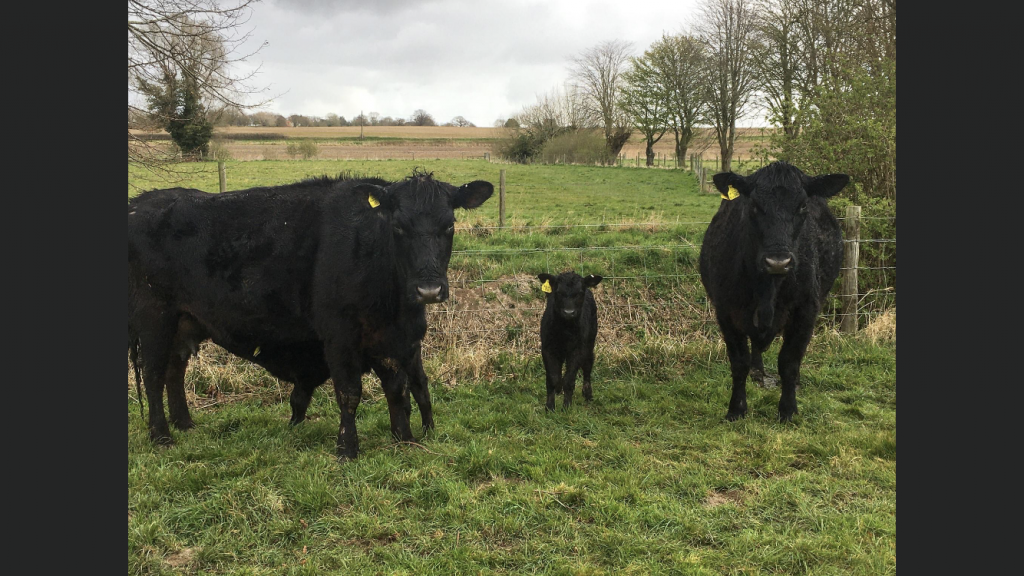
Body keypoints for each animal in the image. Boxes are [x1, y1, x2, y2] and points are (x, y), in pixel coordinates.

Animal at [128, 170, 493, 460]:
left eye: (449, 225)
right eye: (399, 226)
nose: (429, 290)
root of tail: (141, 202)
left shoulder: (391, 338)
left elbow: (397, 388)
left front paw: (405, 439)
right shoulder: (340, 335)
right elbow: (349, 392)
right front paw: (347, 449)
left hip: (184, 321)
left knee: (174, 370)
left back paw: (185, 424)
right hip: (154, 317)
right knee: (153, 373)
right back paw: (161, 435)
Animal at [537, 271, 603, 411]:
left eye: (580, 292)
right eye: (558, 292)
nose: (568, 312)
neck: (565, 330)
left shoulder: (578, 349)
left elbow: (569, 379)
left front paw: (566, 406)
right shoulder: (547, 348)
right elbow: (552, 378)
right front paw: (549, 407)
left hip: (590, 342)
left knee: (588, 364)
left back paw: (587, 393)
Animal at [698, 161, 848, 422]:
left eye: (803, 205)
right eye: (754, 205)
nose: (778, 262)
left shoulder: (806, 310)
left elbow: (789, 361)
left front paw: (788, 410)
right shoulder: (725, 311)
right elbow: (739, 362)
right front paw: (736, 409)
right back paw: (757, 372)